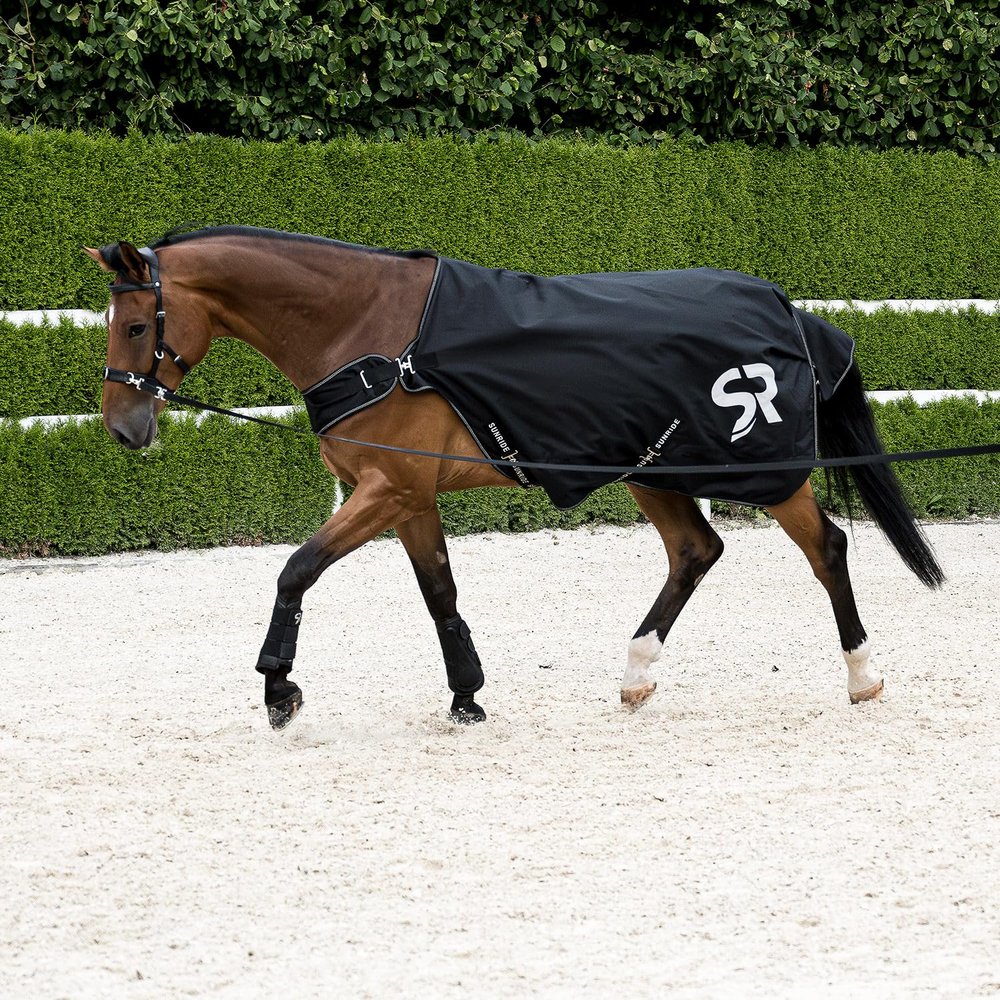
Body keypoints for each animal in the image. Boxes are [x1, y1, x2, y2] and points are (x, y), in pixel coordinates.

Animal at [85, 226, 944, 731]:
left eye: (138, 324)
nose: (124, 428)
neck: (368, 333)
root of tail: (791, 311)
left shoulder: (386, 491)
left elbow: (297, 569)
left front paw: (278, 689)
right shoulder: (408, 499)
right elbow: (440, 594)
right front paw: (467, 694)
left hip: (762, 471)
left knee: (825, 547)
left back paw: (862, 676)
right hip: (653, 470)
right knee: (695, 551)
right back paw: (636, 675)